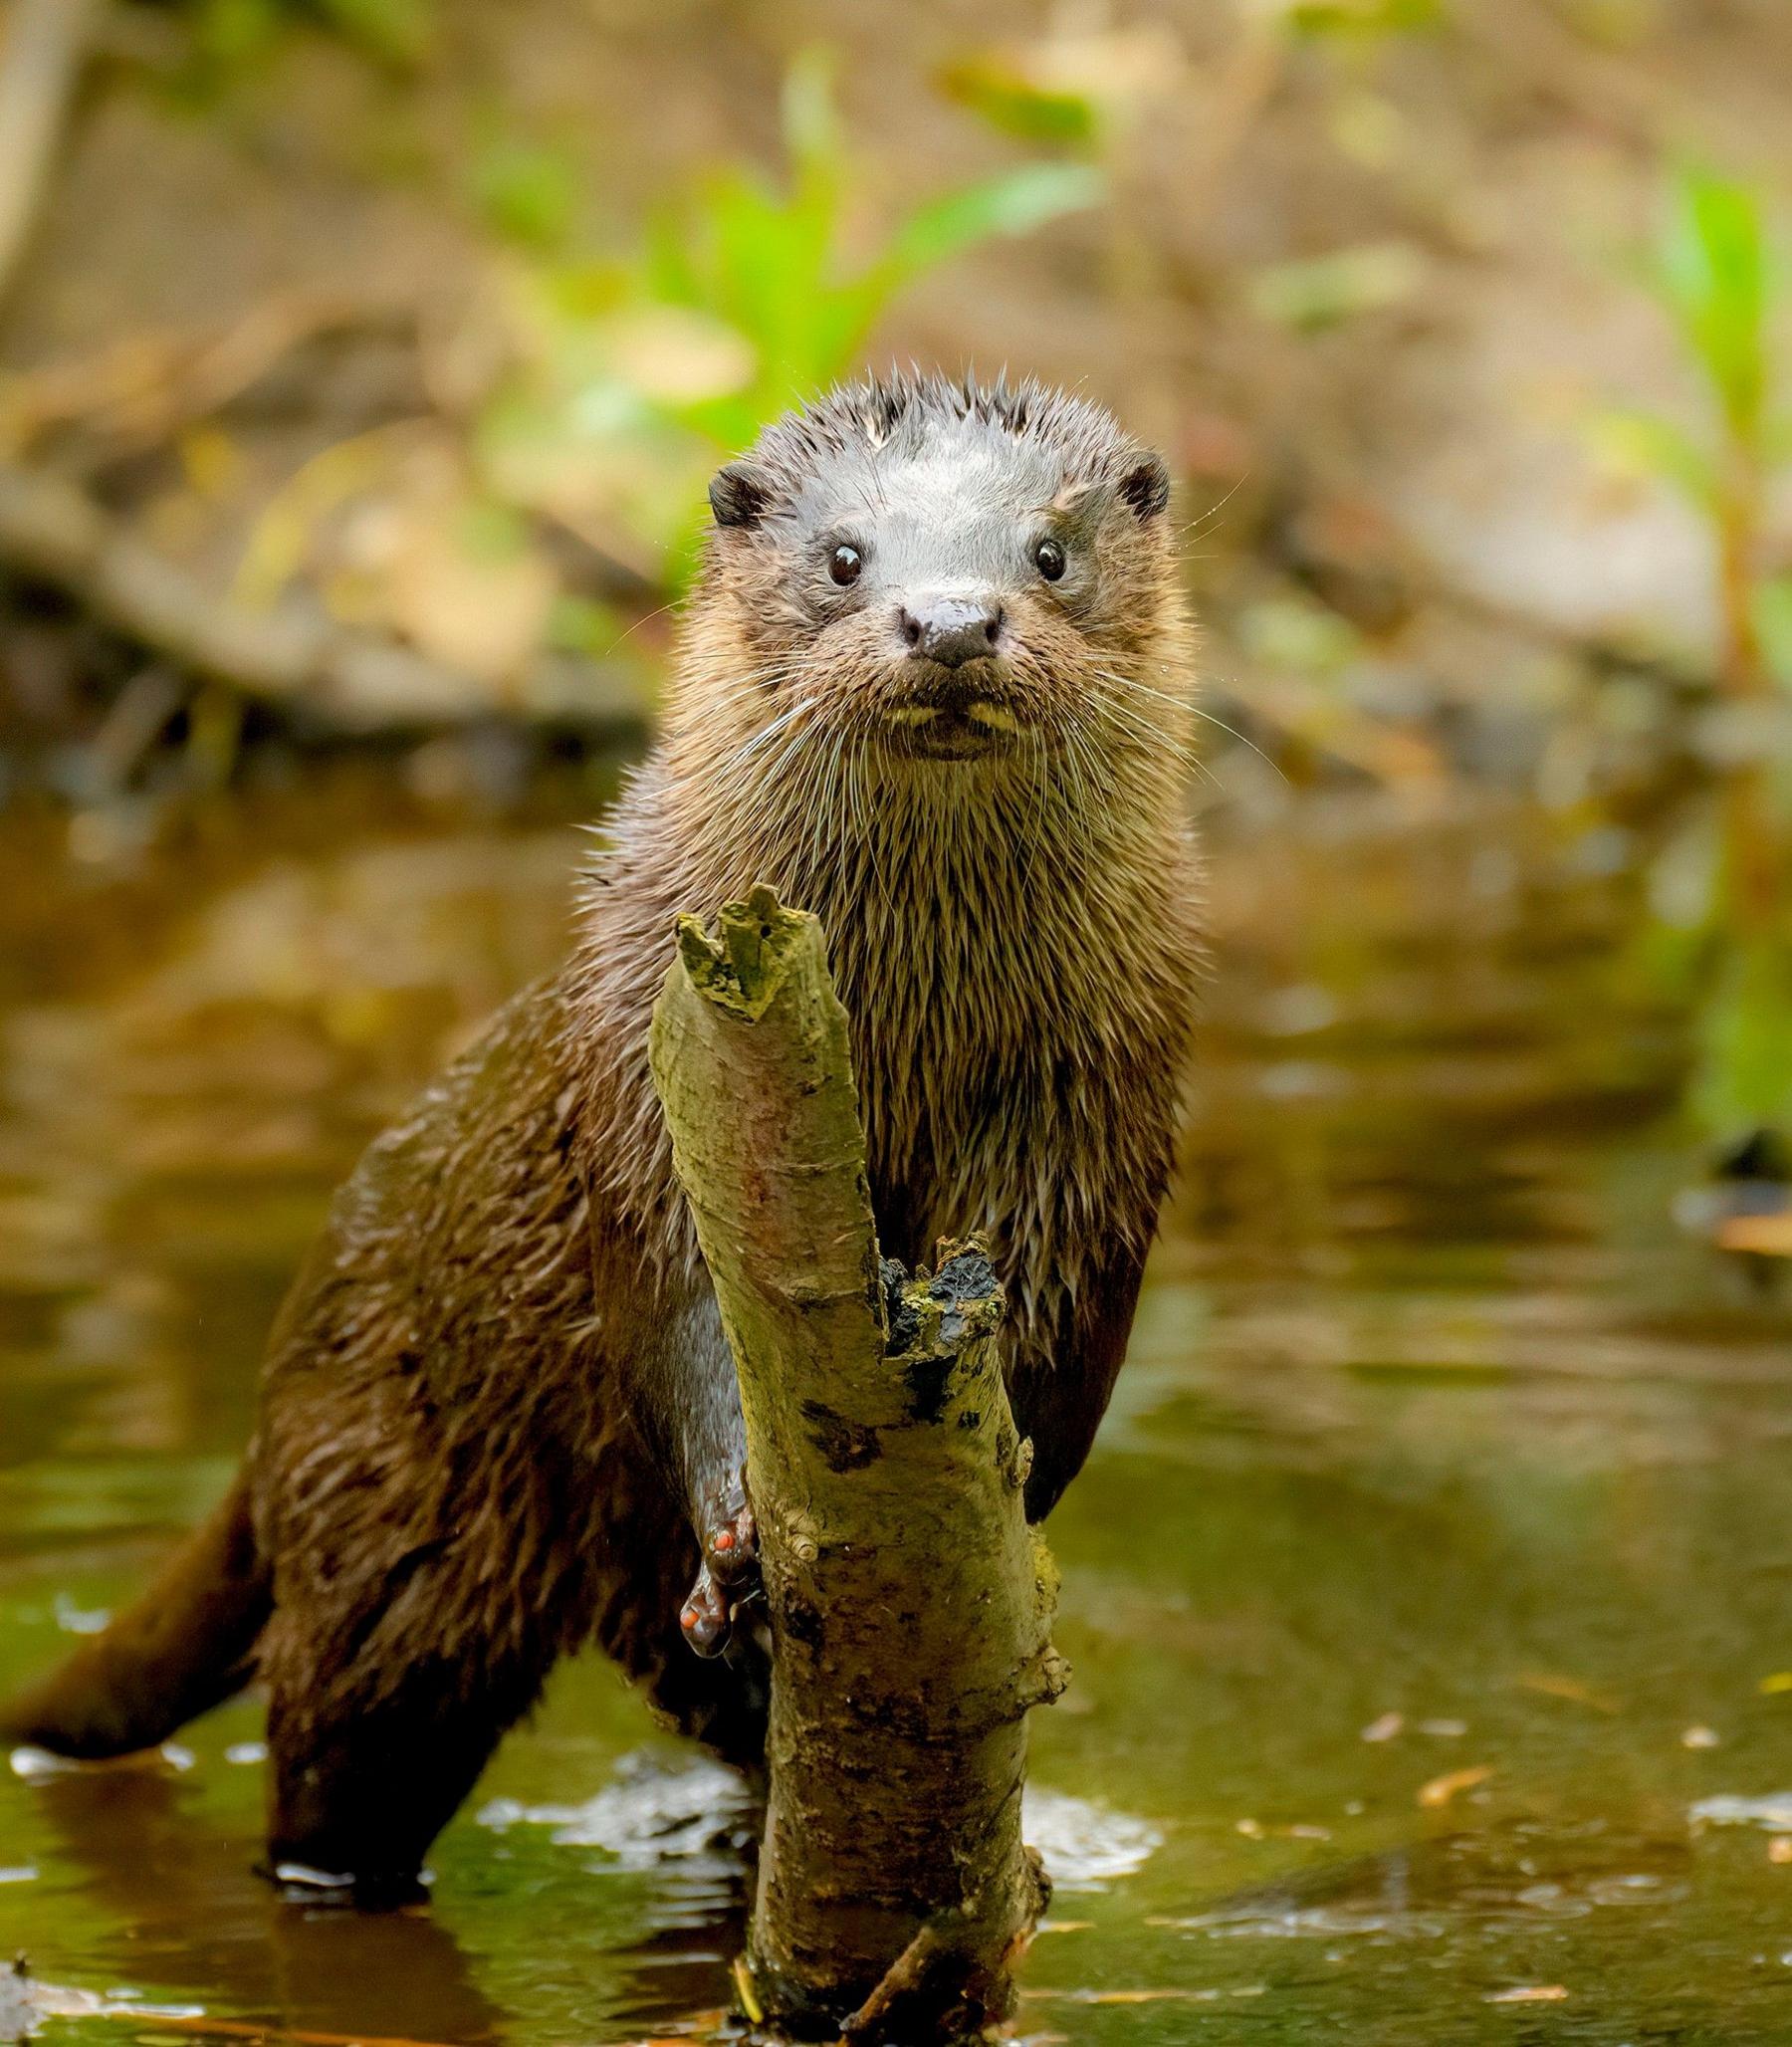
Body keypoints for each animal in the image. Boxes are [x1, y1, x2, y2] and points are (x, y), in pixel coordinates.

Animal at [7, 372, 1204, 1899]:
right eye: (844, 558)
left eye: (1049, 554)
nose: (949, 622)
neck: (911, 1026)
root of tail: (284, 1377)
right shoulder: (642, 1080)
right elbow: (678, 1302)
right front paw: (742, 1522)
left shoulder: (1102, 1097)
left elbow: (1055, 1322)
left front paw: (1010, 1524)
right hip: (391, 1546)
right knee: (339, 1772)